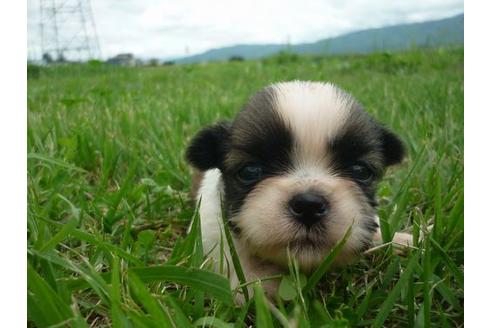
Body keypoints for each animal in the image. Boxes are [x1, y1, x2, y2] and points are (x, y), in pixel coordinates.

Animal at [186, 81, 414, 298]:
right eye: (250, 171)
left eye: (361, 171)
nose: (308, 205)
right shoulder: (211, 229)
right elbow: (236, 263)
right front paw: (259, 288)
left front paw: (403, 240)